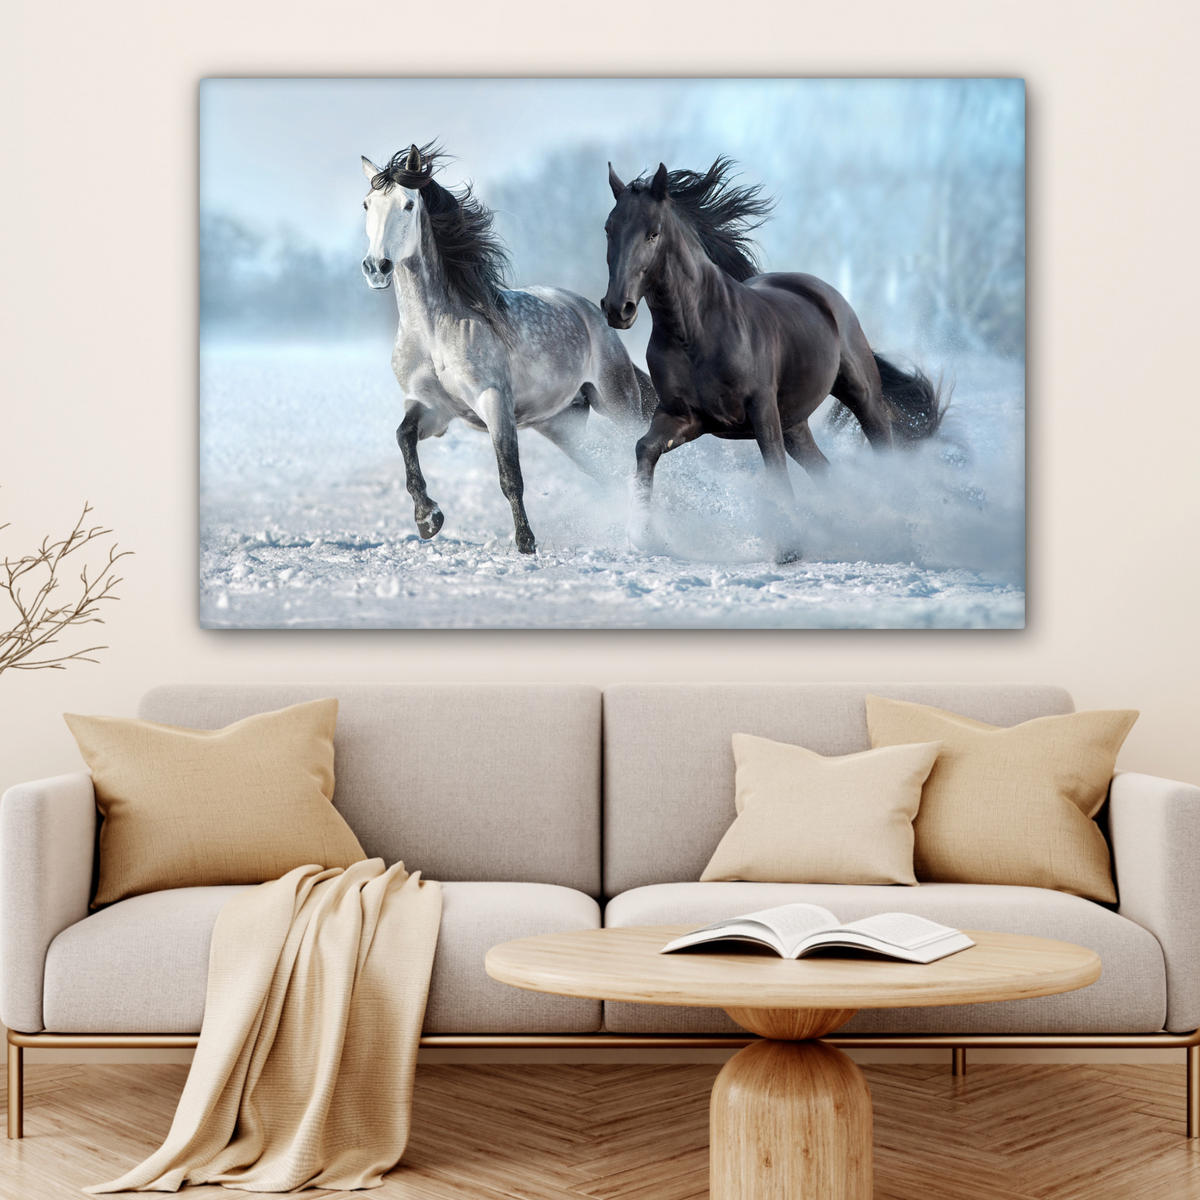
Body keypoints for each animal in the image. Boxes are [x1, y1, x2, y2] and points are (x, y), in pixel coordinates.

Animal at [361, 143, 655, 554]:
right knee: (606, 470)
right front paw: (428, 519)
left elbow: (509, 475)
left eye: (407, 204)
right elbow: (403, 439)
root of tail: (591, 313)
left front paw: (526, 543)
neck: (434, 332)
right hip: (562, 424)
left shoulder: (494, 401)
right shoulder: (432, 408)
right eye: (367, 204)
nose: (377, 267)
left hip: (617, 402)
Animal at [601, 157, 946, 563]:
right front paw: (644, 536)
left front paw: (789, 548)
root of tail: (824, 294)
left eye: (653, 234)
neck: (695, 333)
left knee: (882, 448)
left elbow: (775, 471)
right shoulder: (683, 416)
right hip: (795, 423)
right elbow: (645, 449)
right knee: (825, 471)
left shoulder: (761, 411)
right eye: (608, 229)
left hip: (862, 396)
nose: (617, 309)